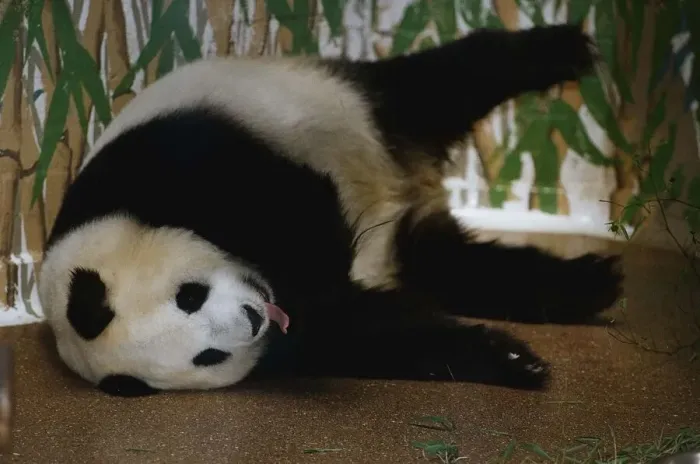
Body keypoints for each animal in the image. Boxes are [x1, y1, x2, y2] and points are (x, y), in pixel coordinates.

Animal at [37, 23, 623, 398]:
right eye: (208, 357)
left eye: (189, 296)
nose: (253, 318)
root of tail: (416, 181)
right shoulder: (292, 344)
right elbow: (366, 335)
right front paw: (511, 359)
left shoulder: (155, 164)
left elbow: (278, 197)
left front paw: (320, 251)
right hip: (414, 239)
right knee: (457, 266)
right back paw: (587, 283)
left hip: (350, 101)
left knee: (448, 79)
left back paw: (566, 48)